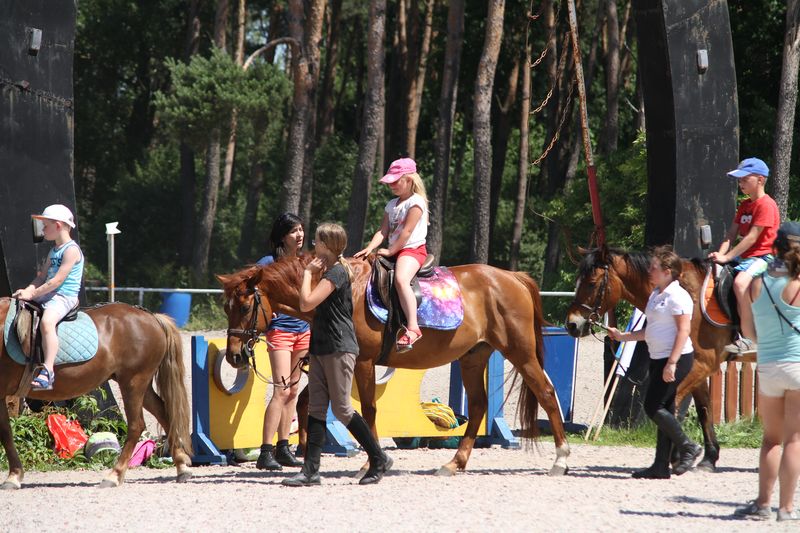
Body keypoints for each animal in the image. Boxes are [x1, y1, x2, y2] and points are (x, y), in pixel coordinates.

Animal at [0, 298, 193, 488]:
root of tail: (151, 317)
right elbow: (6, 432)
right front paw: (14, 475)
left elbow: (5, 433)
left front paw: (13, 476)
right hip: (141, 387)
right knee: (164, 414)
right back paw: (182, 467)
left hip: (133, 382)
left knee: (136, 426)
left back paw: (114, 475)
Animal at [216, 256, 572, 476]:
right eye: (226, 307)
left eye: (245, 307)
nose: (234, 356)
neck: (336, 294)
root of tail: (512, 277)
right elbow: (320, 405)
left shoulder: (362, 362)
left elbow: (368, 410)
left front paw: (372, 463)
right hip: (474, 357)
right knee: (479, 405)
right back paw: (454, 463)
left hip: (521, 353)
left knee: (546, 393)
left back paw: (561, 459)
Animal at [564, 246, 732, 470]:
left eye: (591, 283)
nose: (571, 324)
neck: (688, 294)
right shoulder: (697, 367)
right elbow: (704, 408)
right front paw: (708, 458)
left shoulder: (702, 365)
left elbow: (673, 404)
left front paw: (679, 454)